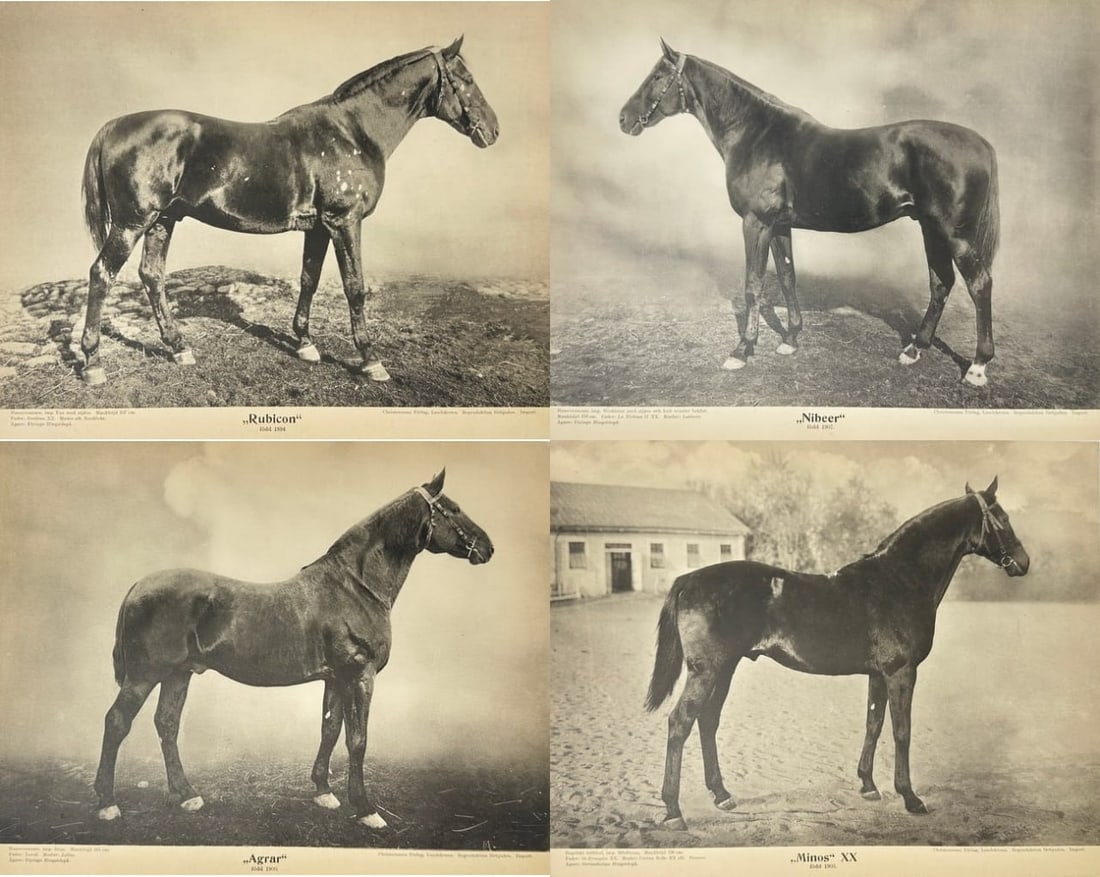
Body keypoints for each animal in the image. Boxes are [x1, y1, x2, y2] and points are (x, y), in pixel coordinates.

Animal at [79, 37, 499, 386]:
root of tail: (113, 126)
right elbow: (355, 288)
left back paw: (179, 348)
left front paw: (305, 344)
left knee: (151, 275)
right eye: (466, 78)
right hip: (133, 223)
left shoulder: (319, 227)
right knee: (101, 275)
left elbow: (308, 279)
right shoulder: (345, 221)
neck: (352, 131)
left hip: (162, 221)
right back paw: (93, 364)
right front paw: (371, 361)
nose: (493, 131)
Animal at [93, 469, 494, 829]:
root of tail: (138, 586)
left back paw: (187, 795)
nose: (488, 548)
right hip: (145, 676)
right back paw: (107, 802)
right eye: (453, 509)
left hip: (178, 674)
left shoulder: (335, 679)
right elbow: (357, 740)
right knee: (117, 722)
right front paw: (366, 809)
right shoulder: (359, 676)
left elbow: (330, 729)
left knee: (167, 724)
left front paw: (323, 792)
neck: (354, 587)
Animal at [620, 40, 1001, 388]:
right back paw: (914, 349)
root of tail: (982, 143)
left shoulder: (756, 224)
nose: (623, 118)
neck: (756, 135)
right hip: (930, 229)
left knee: (979, 285)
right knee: (941, 283)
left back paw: (977, 367)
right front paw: (790, 339)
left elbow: (753, 285)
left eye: (657, 76)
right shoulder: (779, 226)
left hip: (957, 236)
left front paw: (743, 350)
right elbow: (787, 277)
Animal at [645, 478, 1028, 828]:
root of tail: (688, 580)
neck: (900, 579)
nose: (1023, 563)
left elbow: (874, 723)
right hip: (707, 670)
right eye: (1003, 518)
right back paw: (674, 811)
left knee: (707, 720)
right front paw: (910, 797)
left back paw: (722, 795)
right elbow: (901, 731)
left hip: (725, 668)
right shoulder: (901, 672)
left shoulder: (879, 674)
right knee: (681, 722)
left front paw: (868, 786)